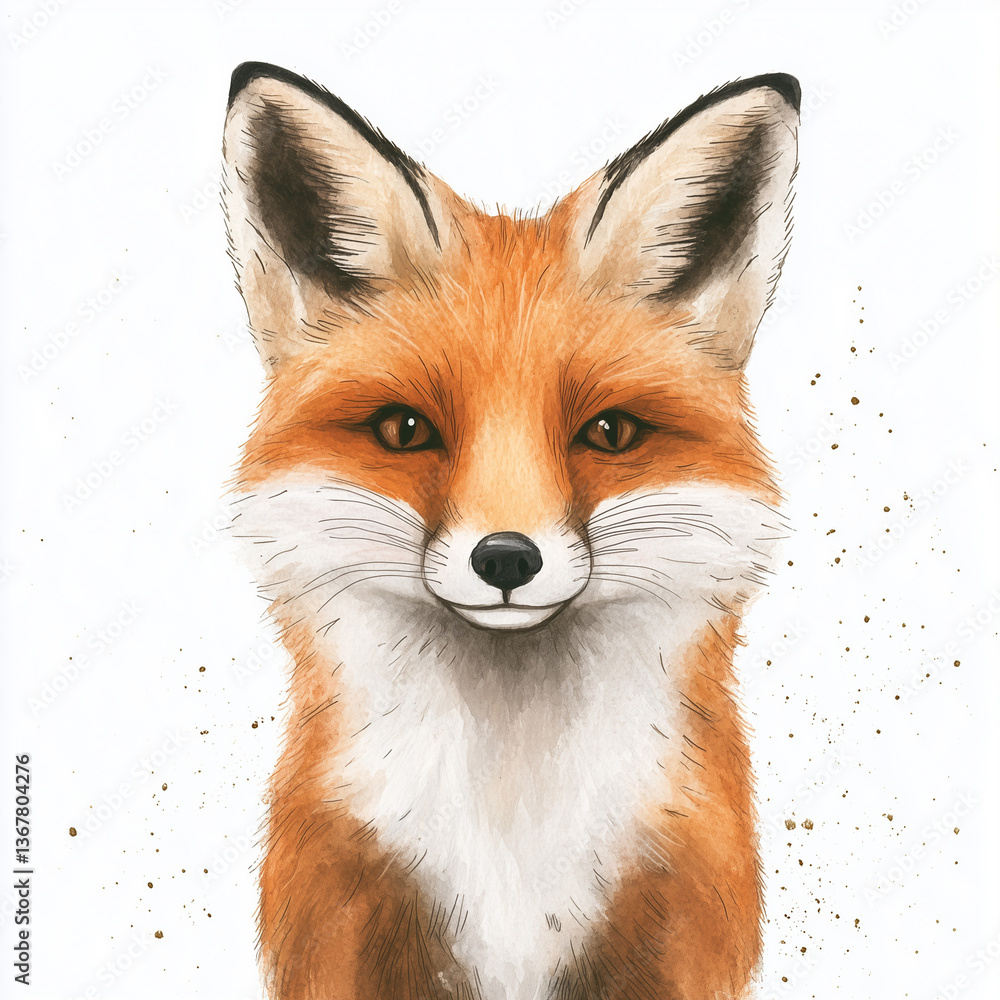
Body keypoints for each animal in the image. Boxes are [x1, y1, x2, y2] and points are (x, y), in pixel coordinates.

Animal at [222, 61, 799, 1000]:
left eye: (609, 433)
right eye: (404, 430)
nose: (504, 559)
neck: (511, 826)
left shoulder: (676, 917)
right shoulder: (344, 908)